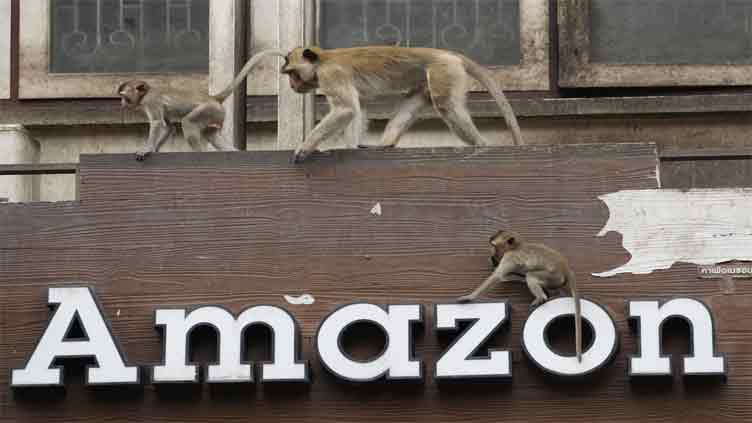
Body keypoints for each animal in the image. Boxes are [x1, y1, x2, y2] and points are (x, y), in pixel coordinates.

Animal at [119, 49, 286, 161]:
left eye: (124, 96)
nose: (121, 103)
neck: (146, 92)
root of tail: (213, 98)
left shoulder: (151, 101)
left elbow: (157, 122)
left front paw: (147, 149)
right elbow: (168, 127)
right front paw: (154, 149)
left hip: (208, 110)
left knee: (188, 122)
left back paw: (199, 152)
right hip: (216, 116)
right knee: (210, 134)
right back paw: (232, 151)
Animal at [279, 46, 524, 163]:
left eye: (292, 73)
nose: (291, 85)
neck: (323, 60)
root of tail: (448, 54)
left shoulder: (331, 75)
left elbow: (345, 109)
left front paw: (305, 147)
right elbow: (357, 108)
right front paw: (351, 146)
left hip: (444, 70)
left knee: (445, 104)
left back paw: (480, 144)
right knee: (416, 100)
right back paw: (386, 144)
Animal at [457, 230, 583, 362]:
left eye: (494, 246)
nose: (492, 254)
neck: (517, 246)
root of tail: (566, 268)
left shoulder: (509, 257)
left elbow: (497, 276)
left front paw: (470, 296)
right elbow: (505, 277)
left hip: (553, 276)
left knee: (530, 276)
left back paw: (541, 298)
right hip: (555, 280)